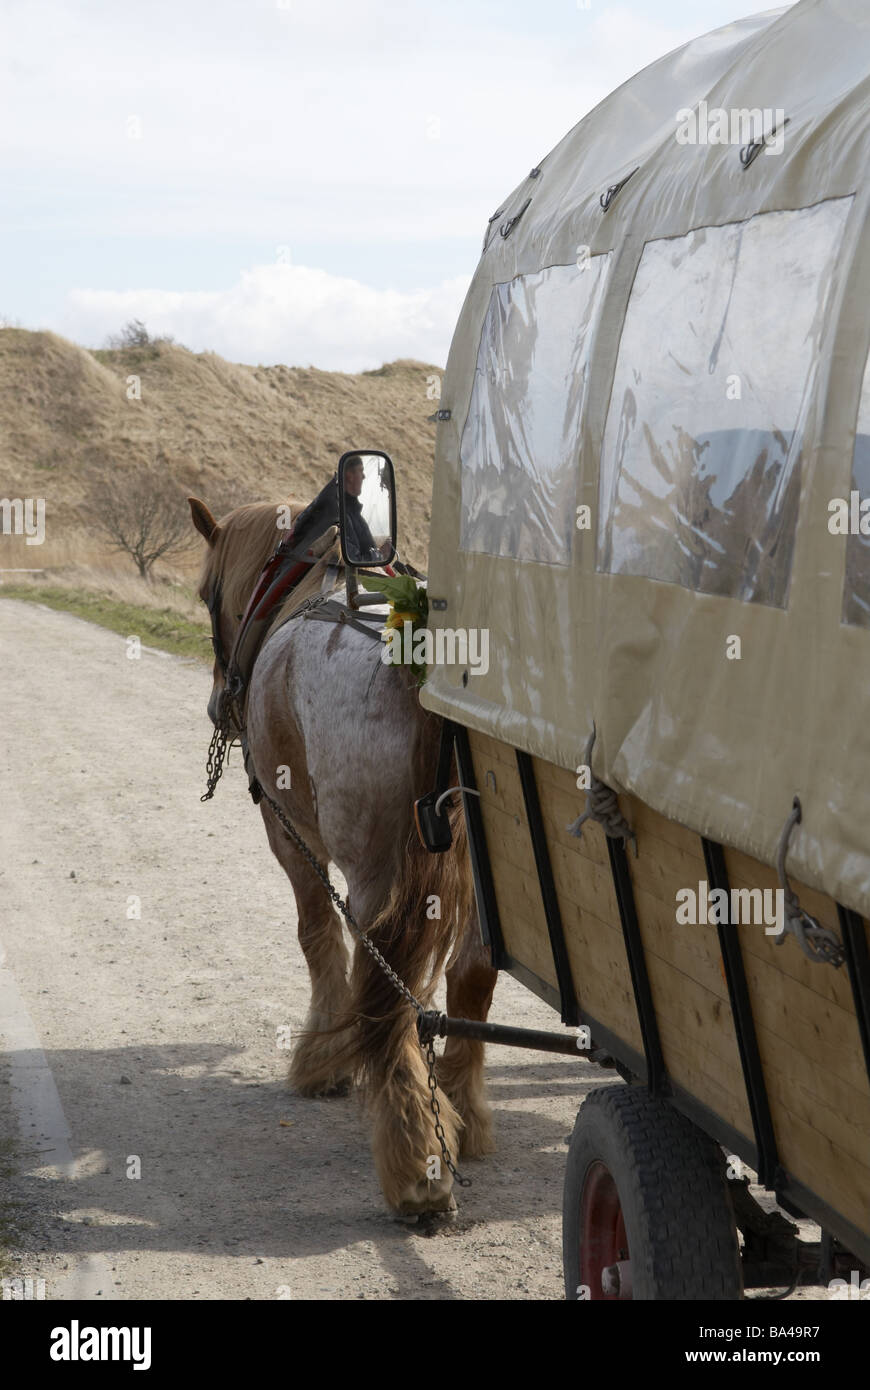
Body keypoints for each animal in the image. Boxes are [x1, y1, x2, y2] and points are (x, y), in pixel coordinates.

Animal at [190, 494, 497, 1212]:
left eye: (204, 594)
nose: (219, 703)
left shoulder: (287, 834)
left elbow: (316, 934)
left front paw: (319, 1061)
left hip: (377, 873)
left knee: (393, 988)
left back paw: (416, 1164)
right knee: (471, 972)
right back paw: (461, 1113)